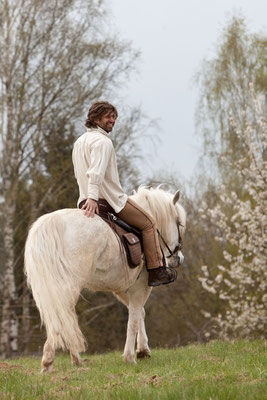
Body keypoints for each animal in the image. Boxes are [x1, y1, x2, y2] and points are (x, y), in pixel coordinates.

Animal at [24, 188, 185, 372]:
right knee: (62, 318)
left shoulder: (123, 289)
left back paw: (68, 361)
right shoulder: (141, 287)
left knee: (62, 318)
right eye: (180, 224)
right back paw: (54, 361)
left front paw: (143, 350)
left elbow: (139, 313)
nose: (179, 258)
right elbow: (134, 318)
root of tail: (51, 223)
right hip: (67, 288)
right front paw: (130, 356)